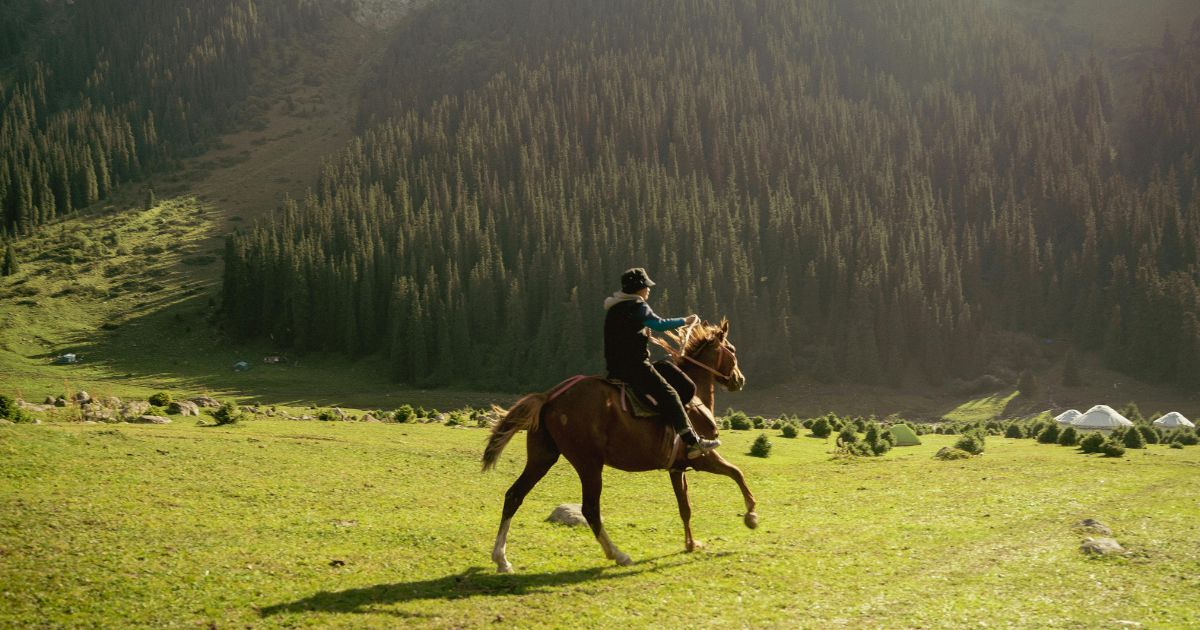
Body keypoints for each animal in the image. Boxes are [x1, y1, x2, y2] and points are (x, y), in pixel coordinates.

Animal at [481, 319, 757, 573]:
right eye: (732, 349)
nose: (740, 379)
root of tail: (549, 396)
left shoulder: (676, 468)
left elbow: (685, 507)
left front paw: (690, 543)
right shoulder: (702, 457)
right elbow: (737, 474)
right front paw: (751, 516)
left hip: (543, 457)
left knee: (514, 495)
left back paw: (501, 559)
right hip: (589, 464)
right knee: (590, 509)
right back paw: (618, 555)